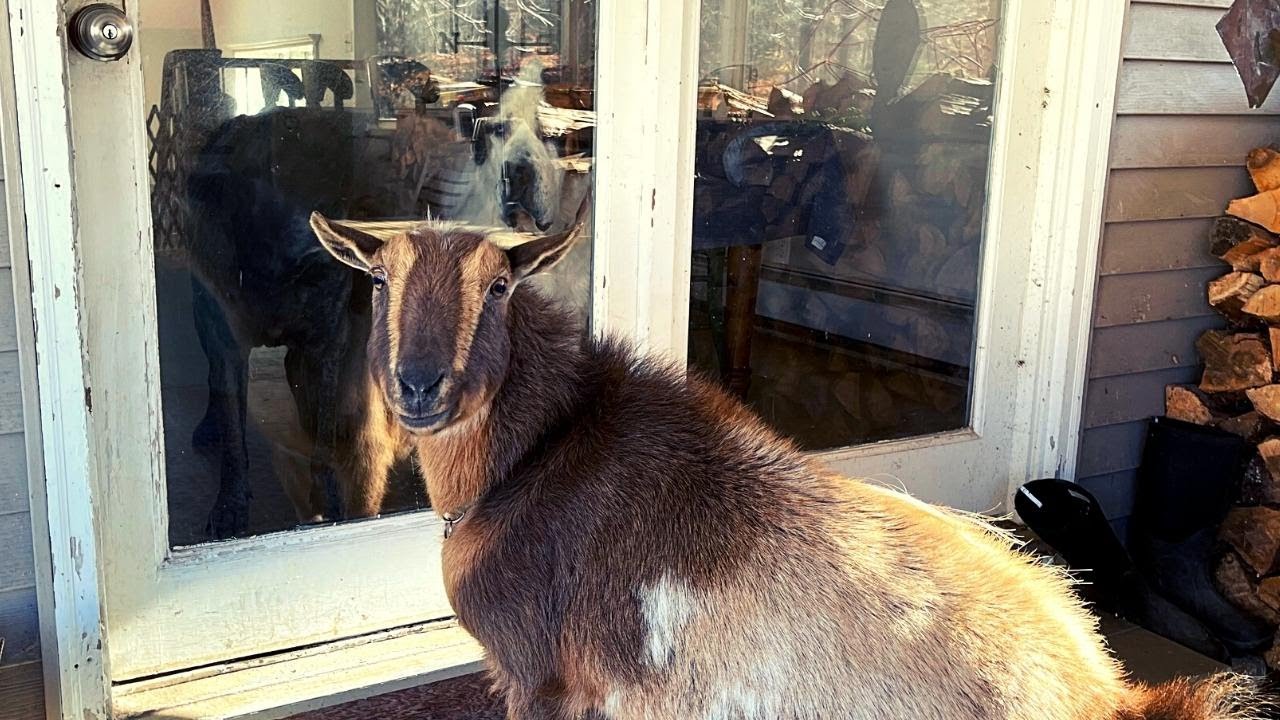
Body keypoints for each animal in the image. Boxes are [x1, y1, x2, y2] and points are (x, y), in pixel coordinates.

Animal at [307, 213, 1264, 720]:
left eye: (499, 287)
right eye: (380, 281)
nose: (418, 386)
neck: (541, 453)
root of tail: (1106, 694)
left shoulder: (542, 675)